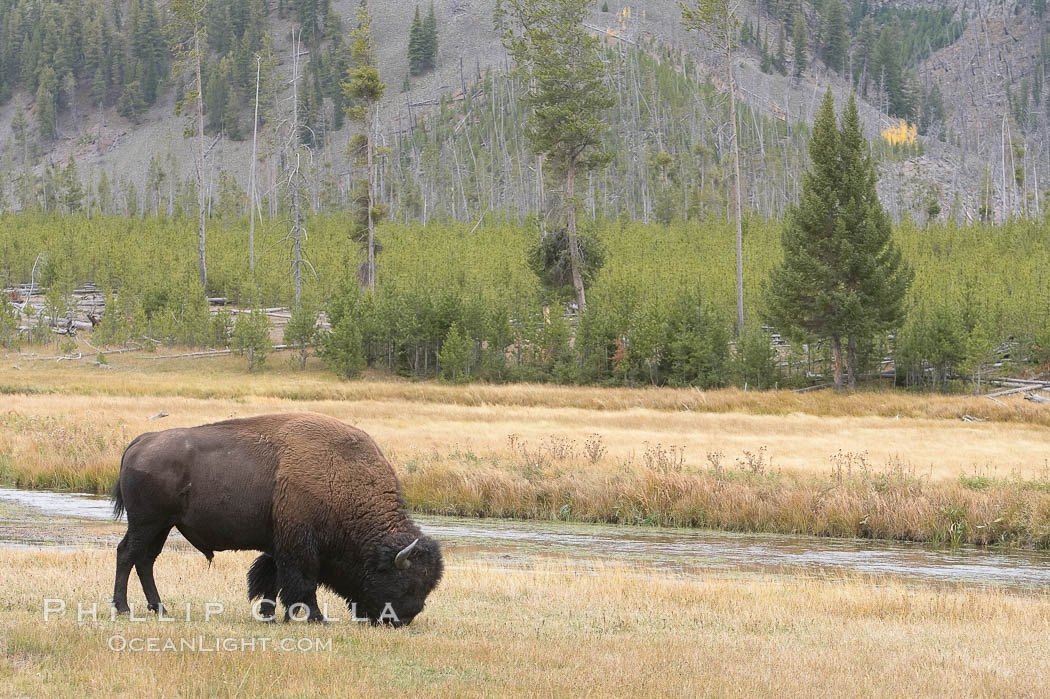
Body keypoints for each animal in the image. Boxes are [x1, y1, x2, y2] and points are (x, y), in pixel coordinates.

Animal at [110, 411, 443, 621]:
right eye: (404, 582)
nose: (402, 619)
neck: (342, 479)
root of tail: (141, 440)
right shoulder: (301, 546)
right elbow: (302, 583)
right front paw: (315, 618)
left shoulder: (278, 544)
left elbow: (271, 578)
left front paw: (269, 614)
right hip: (147, 522)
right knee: (128, 554)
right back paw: (123, 608)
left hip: (162, 526)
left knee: (146, 560)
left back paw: (160, 609)